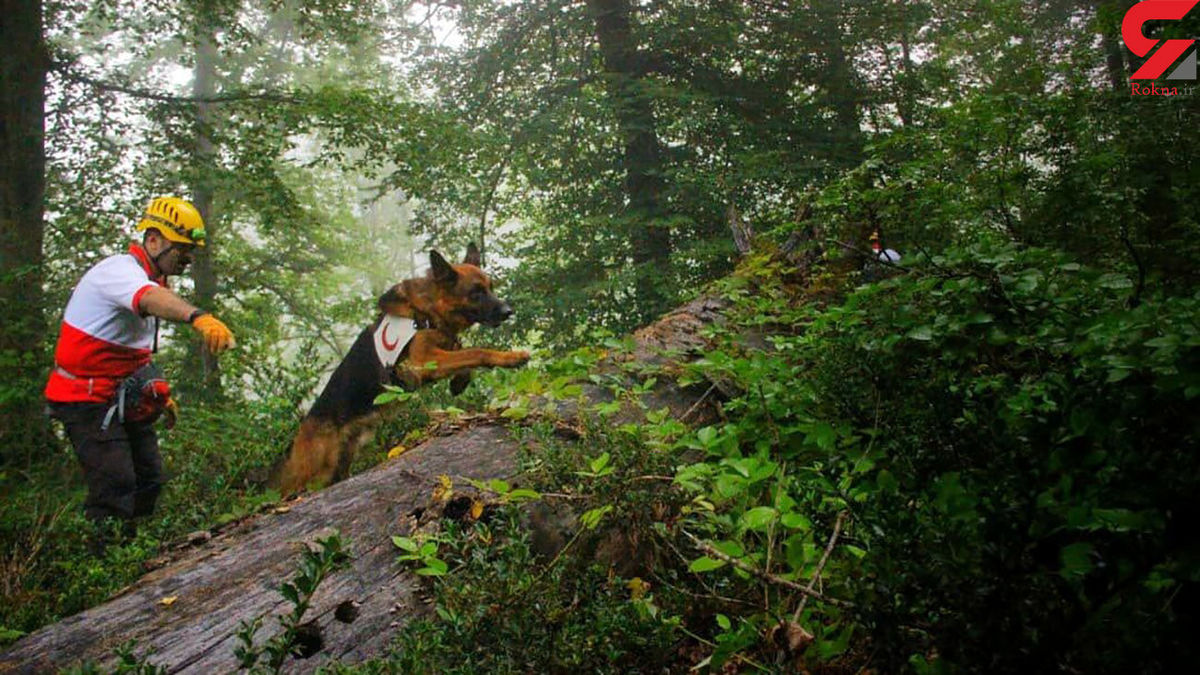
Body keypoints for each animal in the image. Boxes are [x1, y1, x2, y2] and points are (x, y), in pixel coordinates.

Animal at [278, 243, 532, 492]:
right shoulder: (422, 362)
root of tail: (302, 429)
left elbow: (465, 352)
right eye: (476, 292)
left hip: (336, 468)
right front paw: (511, 357)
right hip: (316, 473)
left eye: (491, 288)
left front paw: (460, 381)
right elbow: (476, 351)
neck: (428, 312)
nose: (508, 311)